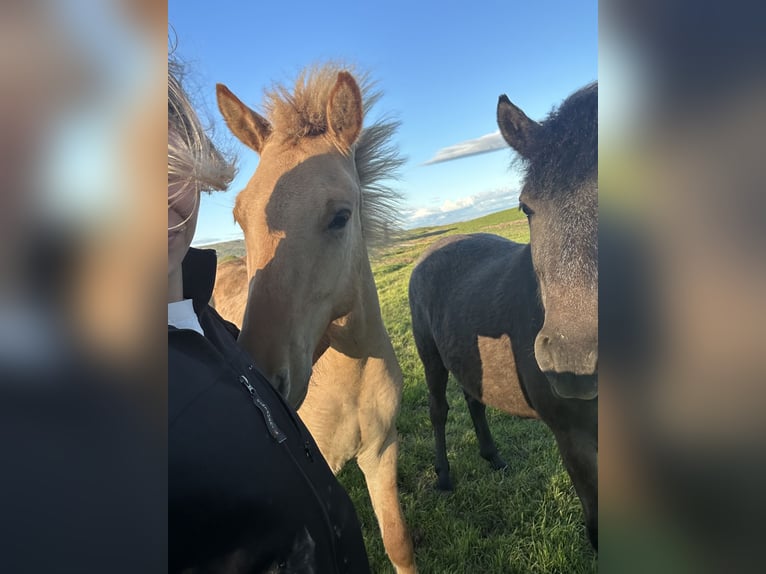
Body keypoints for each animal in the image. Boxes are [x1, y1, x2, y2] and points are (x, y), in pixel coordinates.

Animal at [408, 83, 600, 552]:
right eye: (525, 207)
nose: (573, 362)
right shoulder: (575, 439)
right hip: (430, 358)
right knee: (439, 410)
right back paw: (443, 477)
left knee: (474, 400)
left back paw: (492, 456)